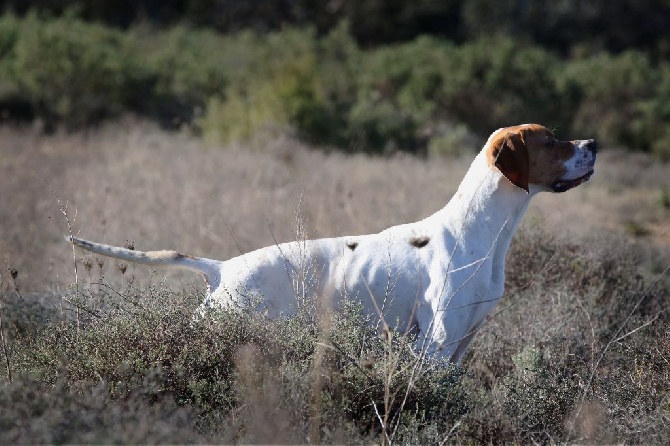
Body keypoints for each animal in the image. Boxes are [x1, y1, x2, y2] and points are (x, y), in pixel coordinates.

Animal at [67, 123, 600, 364]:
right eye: (550, 141)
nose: (594, 144)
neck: (483, 230)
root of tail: (222, 268)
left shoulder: (461, 343)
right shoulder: (436, 340)